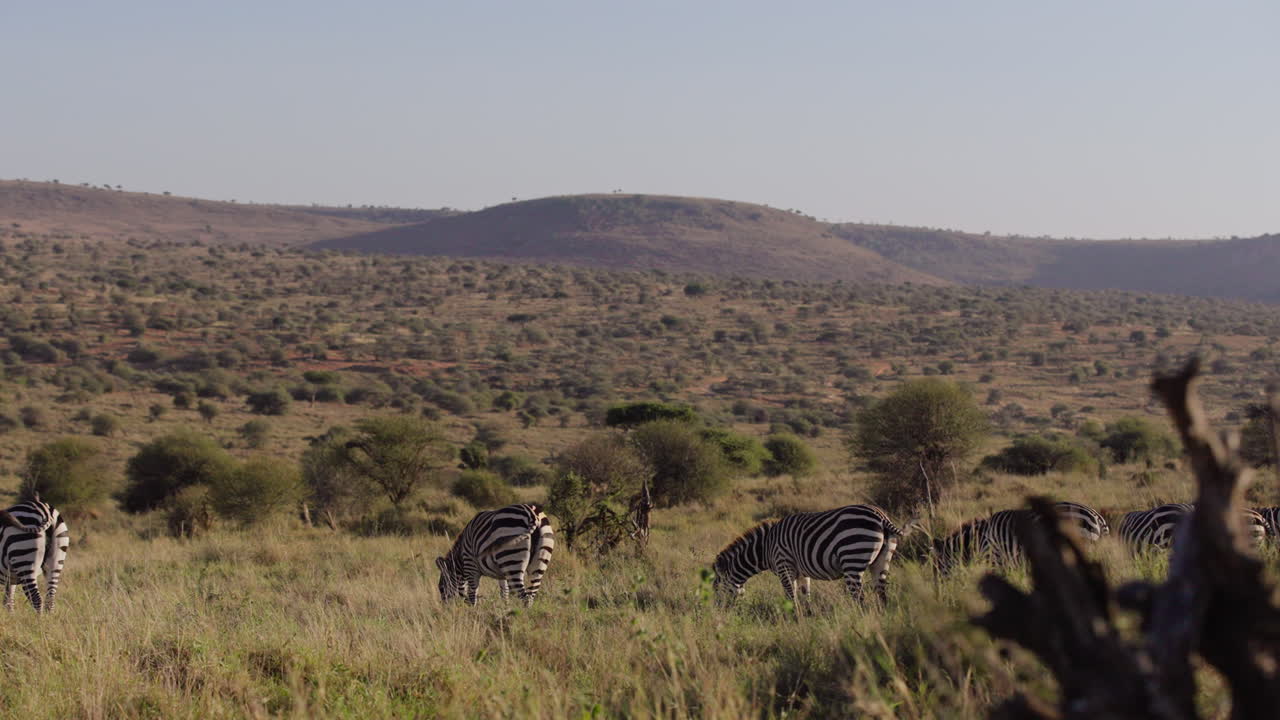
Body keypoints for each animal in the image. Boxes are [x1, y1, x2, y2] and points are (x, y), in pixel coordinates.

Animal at [711, 504, 906, 609]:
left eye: (716, 589)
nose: (716, 614)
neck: (765, 547)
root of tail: (880, 515)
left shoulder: (784, 567)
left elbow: (791, 598)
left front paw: (795, 623)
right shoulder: (801, 572)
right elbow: (806, 597)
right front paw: (808, 619)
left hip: (852, 558)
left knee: (860, 599)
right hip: (881, 562)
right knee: (882, 596)